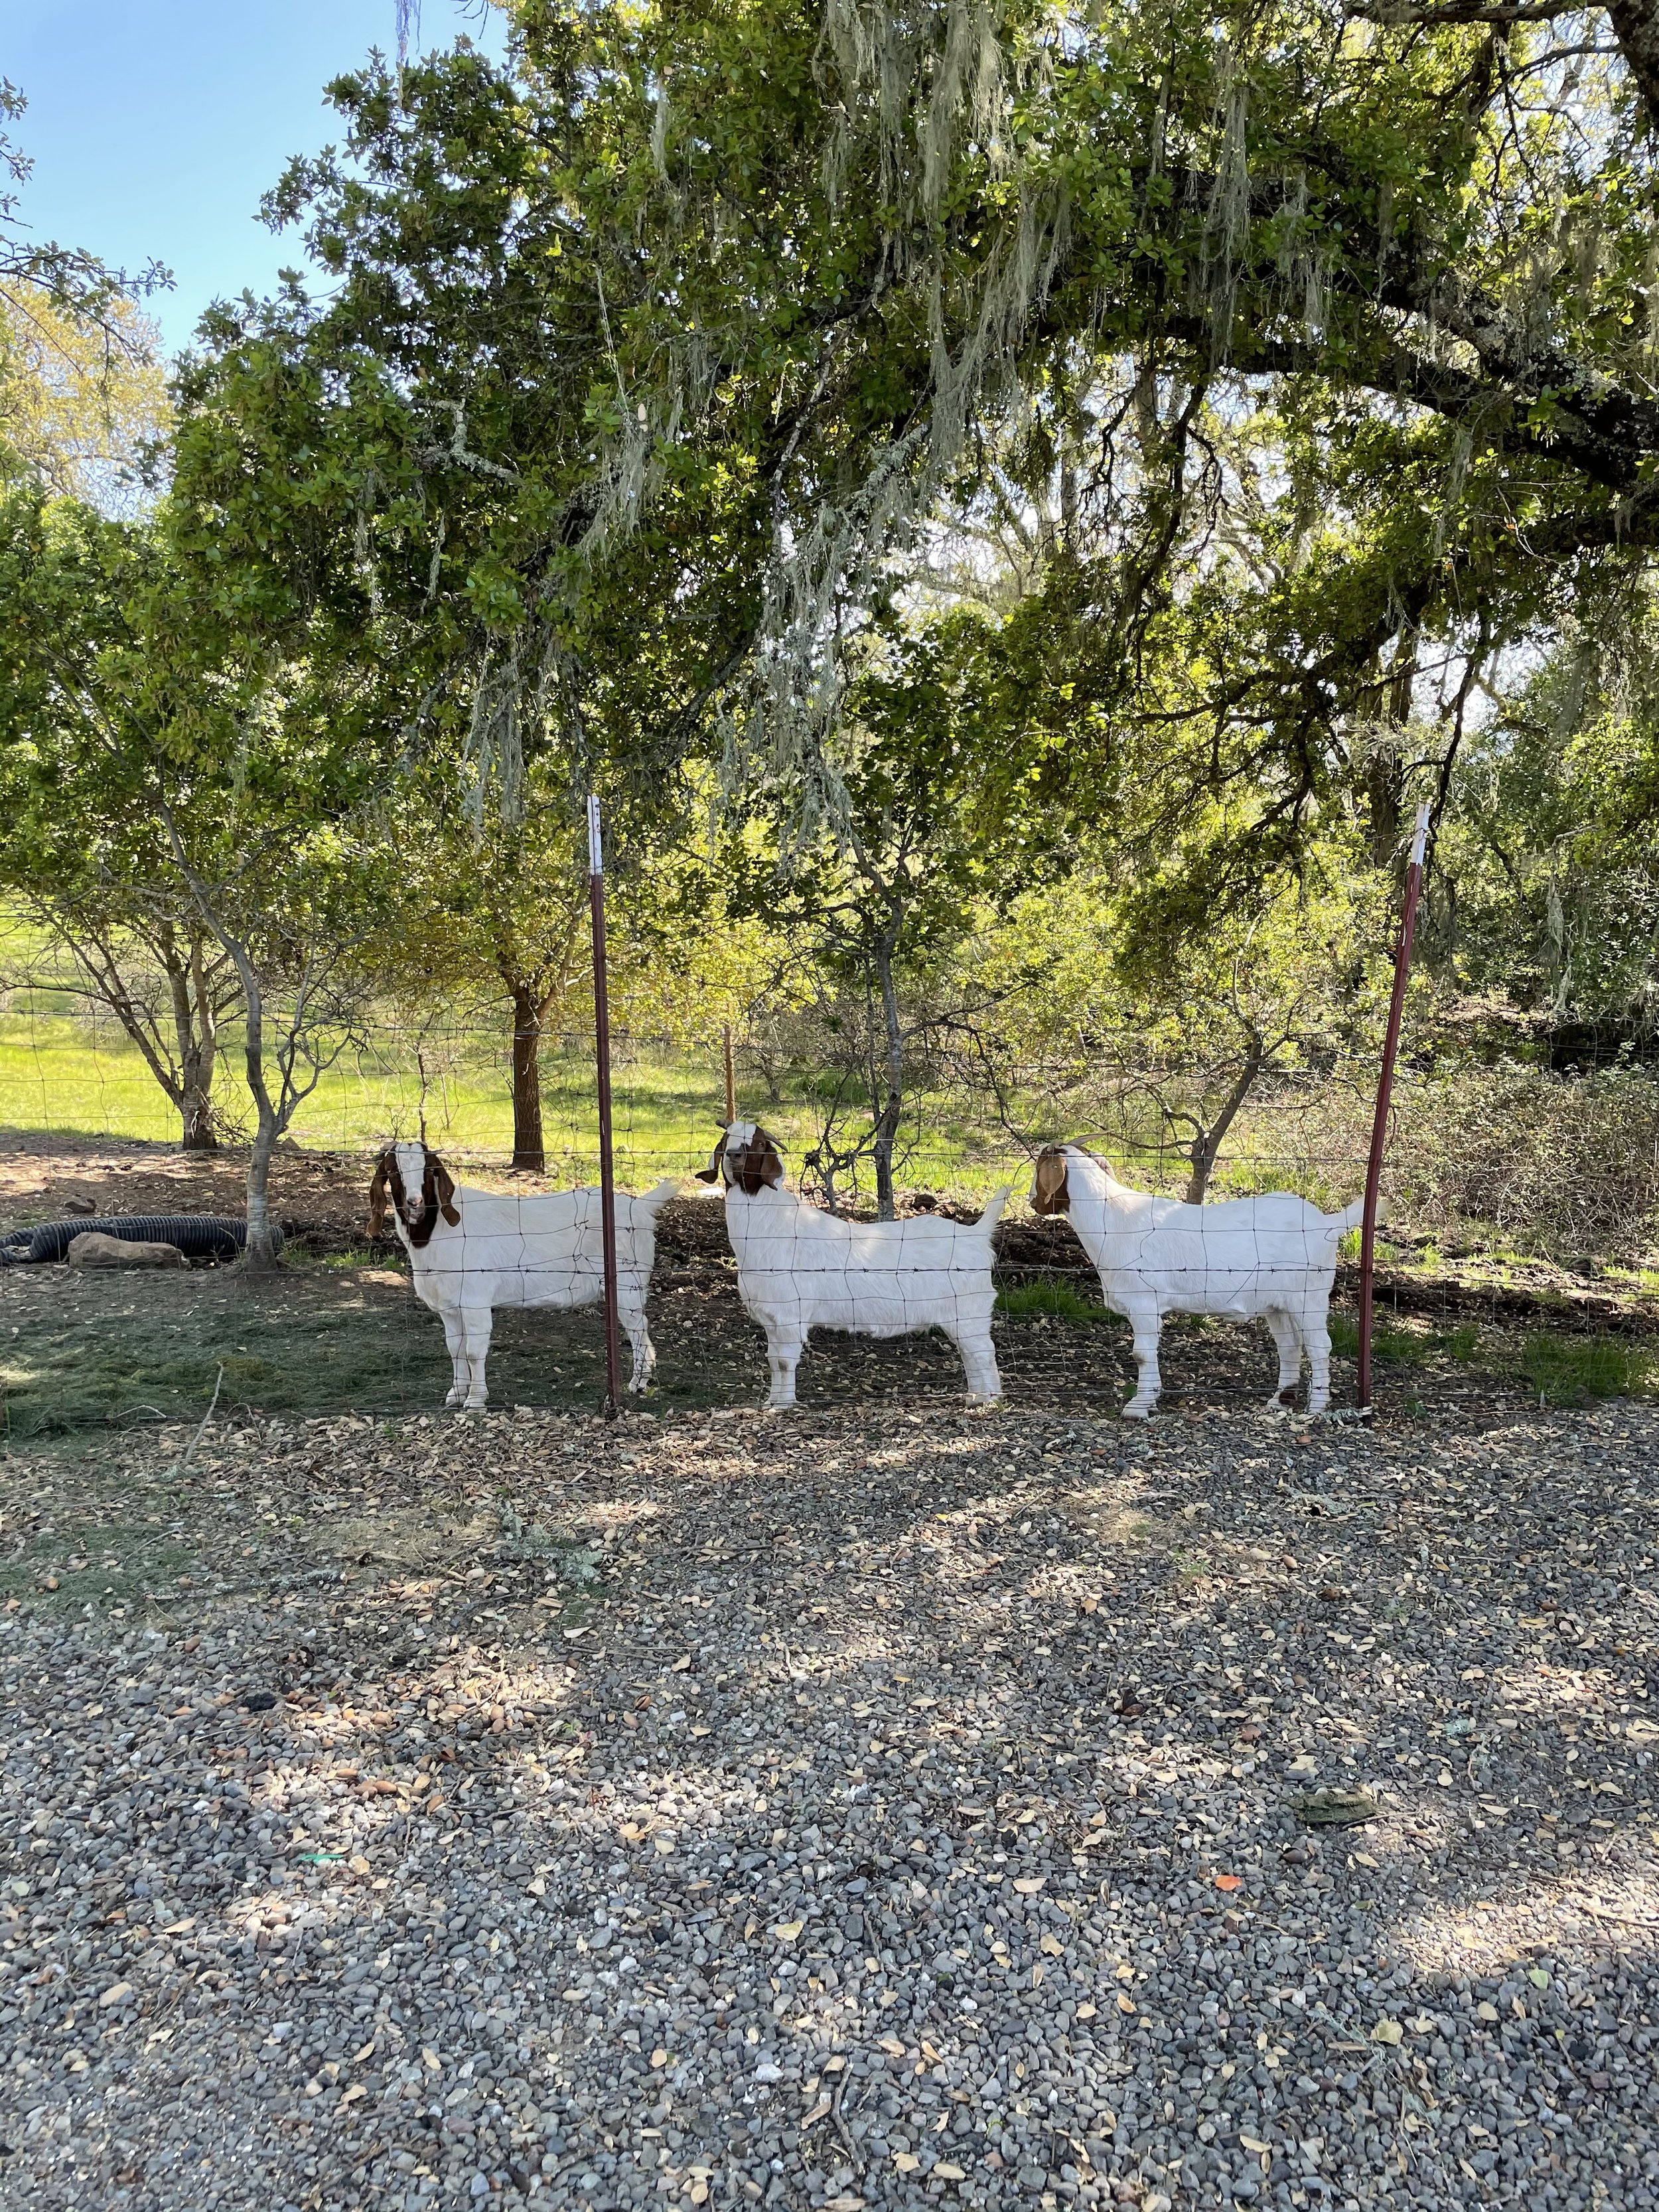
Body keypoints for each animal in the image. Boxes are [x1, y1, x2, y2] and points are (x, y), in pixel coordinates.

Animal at [367, 1141, 679, 1408]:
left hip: (629, 1280)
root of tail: (642, 1205)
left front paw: (475, 1400)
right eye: (393, 1172)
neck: (436, 1232)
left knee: (638, 1328)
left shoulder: (475, 1300)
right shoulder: (449, 1306)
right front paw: (456, 1393)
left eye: (429, 1171)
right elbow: (454, 1347)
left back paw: (638, 1383)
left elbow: (473, 1351)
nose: (415, 1204)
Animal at [696, 1121, 1009, 1409]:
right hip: (960, 1317)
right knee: (970, 1353)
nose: (734, 1156)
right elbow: (774, 1361)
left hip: (969, 1311)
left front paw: (784, 1406)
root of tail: (976, 1235)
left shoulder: (789, 1316)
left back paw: (989, 1399)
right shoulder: (771, 1319)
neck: (769, 1226)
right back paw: (974, 1396)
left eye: (759, 1144)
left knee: (983, 1351)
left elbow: (784, 1362)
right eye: (726, 1139)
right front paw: (772, 1402)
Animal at [1030, 1144, 1366, 1417]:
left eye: (1039, 1166)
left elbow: (1141, 1354)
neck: (1111, 1220)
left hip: (1309, 1296)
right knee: (1290, 1347)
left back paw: (1316, 1407)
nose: (1033, 1200)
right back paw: (1279, 1401)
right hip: (1278, 1305)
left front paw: (1139, 1405)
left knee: (1319, 1346)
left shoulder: (1144, 1303)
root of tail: (1327, 1224)